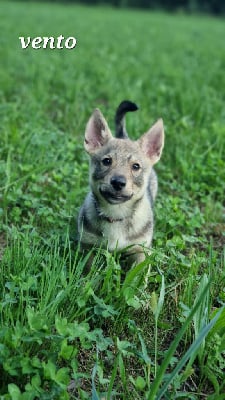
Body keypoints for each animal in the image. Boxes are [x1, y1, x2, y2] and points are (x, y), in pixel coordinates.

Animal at [77, 101, 163, 268]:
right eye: (106, 161)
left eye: (136, 166)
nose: (118, 182)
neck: (115, 214)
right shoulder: (87, 246)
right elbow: (89, 270)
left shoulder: (140, 250)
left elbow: (136, 273)